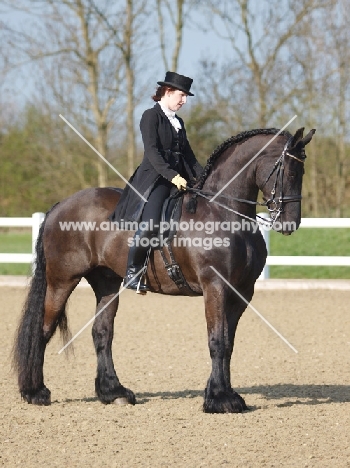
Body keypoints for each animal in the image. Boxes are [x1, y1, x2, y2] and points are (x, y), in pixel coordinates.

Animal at [13, 127, 314, 414]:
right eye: (287, 169)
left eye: (302, 170)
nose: (290, 223)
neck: (223, 212)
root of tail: (60, 206)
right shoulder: (215, 286)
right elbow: (217, 340)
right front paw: (220, 400)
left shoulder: (242, 292)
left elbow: (228, 343)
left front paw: (221, 393)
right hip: (62, 280)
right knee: (44, 329)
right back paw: (35, 392)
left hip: (107, 283)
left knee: (102, 333)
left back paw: (114, 392)